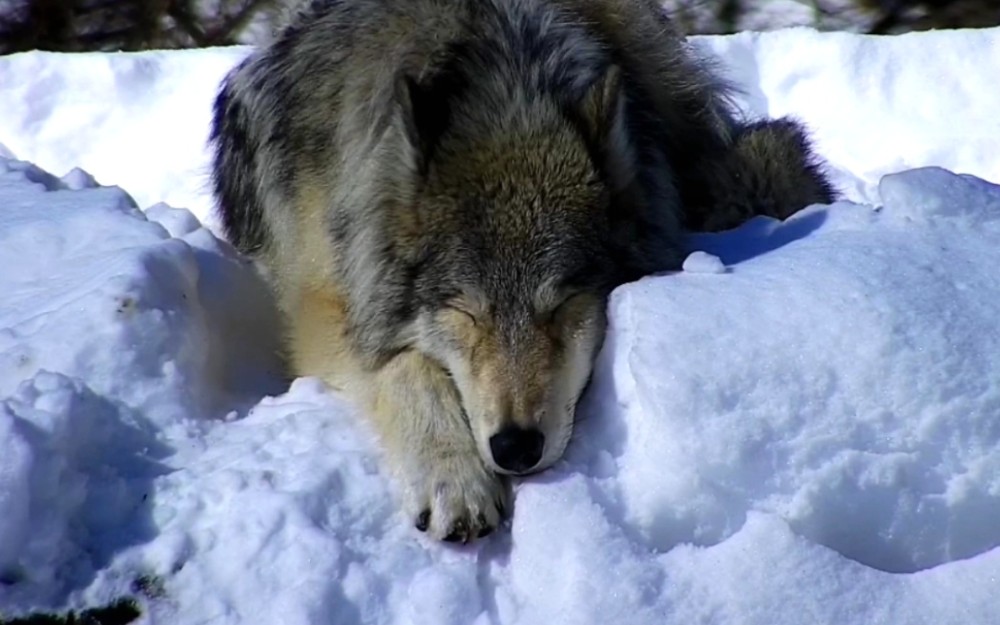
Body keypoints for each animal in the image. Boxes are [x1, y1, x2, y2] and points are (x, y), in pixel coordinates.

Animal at [211, 0, 836, 540]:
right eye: (466, 313)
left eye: (561, 306)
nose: (515, 448)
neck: (501, 88)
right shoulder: (321, 305)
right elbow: (406, 366)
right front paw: (454, 479)